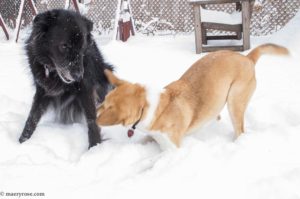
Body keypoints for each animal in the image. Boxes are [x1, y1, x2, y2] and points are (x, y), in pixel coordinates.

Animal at [19, 10, 112, 148]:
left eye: (82, 47)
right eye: (64, 46)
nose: (78, 76)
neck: (54, 72)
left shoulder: (86, 89)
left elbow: (92, 119)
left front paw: (95, 148)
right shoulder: (42, 90)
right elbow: (32, 117)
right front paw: (22, 141)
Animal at [96, 44, 288, 148]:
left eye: (106, 105)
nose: (93, 112)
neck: (150, 107)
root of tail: (247, 58)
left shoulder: (172, 150)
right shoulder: (152, 136)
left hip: (235, 102)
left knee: (239, 130)